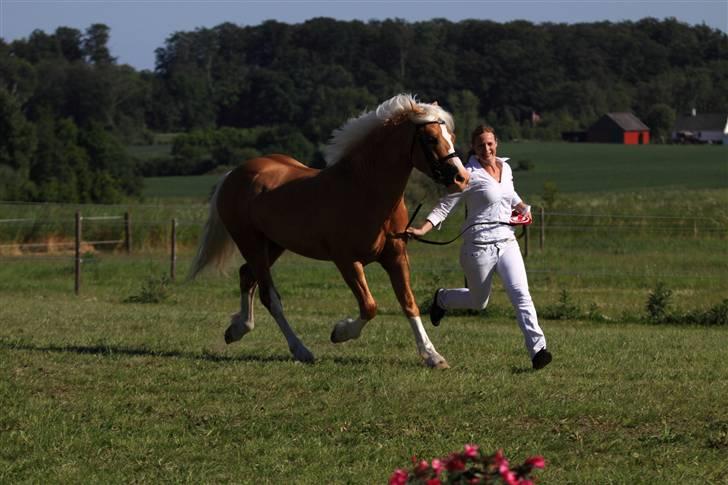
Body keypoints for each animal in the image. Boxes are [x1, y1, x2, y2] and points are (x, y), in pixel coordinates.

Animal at [191, 93, 470, 366]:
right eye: (431, 138)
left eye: (452, 137)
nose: (462, 178)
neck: (365, 189)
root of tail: (233, 174)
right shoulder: (347, 260)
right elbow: (369, 306)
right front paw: (340, 332)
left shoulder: (396, 256)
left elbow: (409, 303)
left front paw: (432, 356)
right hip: (250, 243)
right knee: (270, 297)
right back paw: (300, 350)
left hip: (273, 245)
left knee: (247, 276)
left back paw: (237, 329)